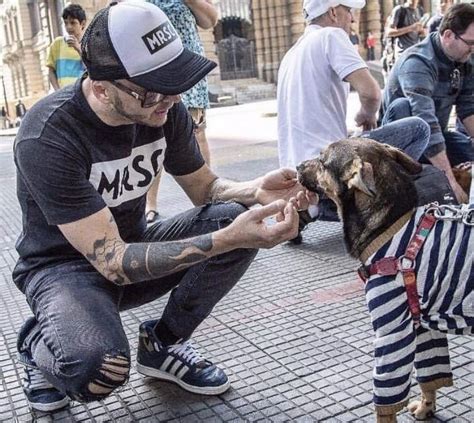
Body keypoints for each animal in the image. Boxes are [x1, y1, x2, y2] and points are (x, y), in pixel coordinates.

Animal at [298, 137, 472, 422]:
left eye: (322, 161)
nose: (297, 166)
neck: (392, 223)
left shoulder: (392, 331)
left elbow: (386, 400)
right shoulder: (421, 325)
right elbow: (429, 376)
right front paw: (426, 407)